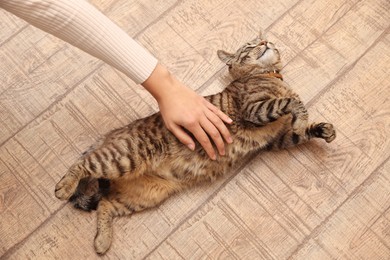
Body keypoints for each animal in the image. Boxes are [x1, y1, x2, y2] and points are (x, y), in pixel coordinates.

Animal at [54, 31, 336, 254]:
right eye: (250, 45)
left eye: (265, 41)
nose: (266, 41)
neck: (270, 76)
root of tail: (113, 134)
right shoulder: (255, 110)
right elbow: (291, 103)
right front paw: (302, 115)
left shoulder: (276, 139)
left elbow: (298, 131)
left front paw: (323, 129)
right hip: (123, 158)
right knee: (83, 164)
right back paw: (64, 187)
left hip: (143, 195)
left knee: (104, 204)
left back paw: (102, 241)